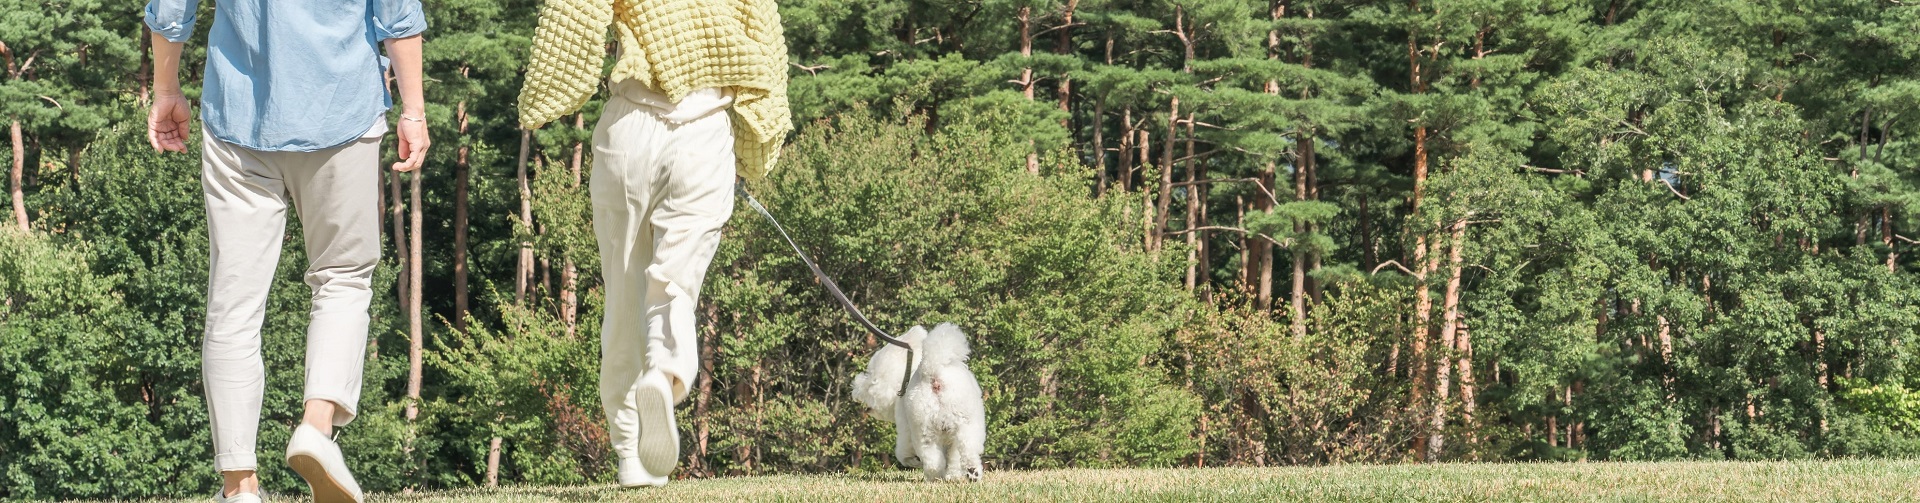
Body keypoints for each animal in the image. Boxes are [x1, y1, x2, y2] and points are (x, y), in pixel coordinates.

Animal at [848, 324, 983, 481]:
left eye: (870, 376)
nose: (854, 390)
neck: (905, 379)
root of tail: (932, 373)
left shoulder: (904, 425)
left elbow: (902, 452)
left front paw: (913, 460)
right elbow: (953, 457)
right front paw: (953, 476)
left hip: (927, 429)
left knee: (935, 460)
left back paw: (939, 477)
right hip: (957, 424)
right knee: (961, 452)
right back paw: (964, 474)